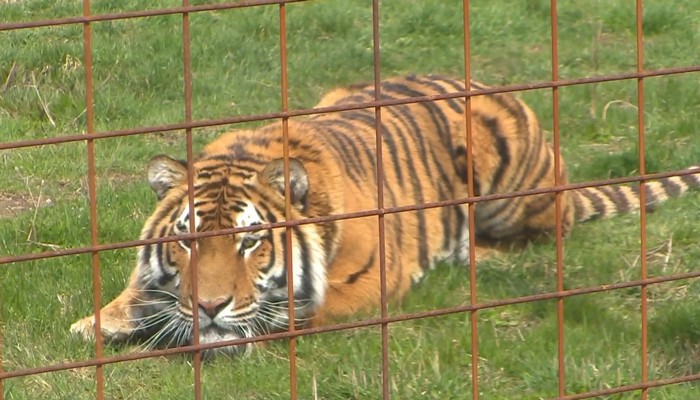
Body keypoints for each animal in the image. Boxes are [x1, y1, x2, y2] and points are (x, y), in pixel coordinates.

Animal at [72, 74, 700, 356]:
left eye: (251, 243)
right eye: (187, 241)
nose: (209, 305)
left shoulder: (365, 284)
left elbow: (287, 317)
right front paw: (103, 322)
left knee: (552, 229)